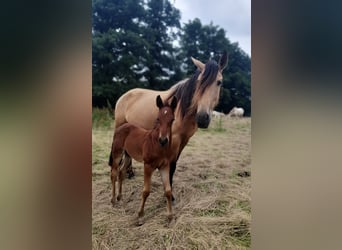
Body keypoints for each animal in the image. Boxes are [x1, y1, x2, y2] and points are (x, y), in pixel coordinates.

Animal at [109, 94, 176, 222]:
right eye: (158, 119)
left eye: (172, 120)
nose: (163, 140)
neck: (157, 145)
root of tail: (121, 126)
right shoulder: (148, 166)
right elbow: (146, 191)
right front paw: (140, 215)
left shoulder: (164, 166)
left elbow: (168, 191)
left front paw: (170, 216)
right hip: (117, 153)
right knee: (114, 173)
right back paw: (113, 200)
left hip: (128, 154)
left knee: (121, 172)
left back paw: (120, 197)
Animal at [113, 52, 228, 201]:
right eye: (199, 82)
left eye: (219, 82)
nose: (202, 118)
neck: (182, 110)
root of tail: (124, 95)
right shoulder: (174, 139)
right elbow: (171, 165)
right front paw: (170, 195)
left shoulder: (184, 140)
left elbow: (175, 164)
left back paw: (130, 173)